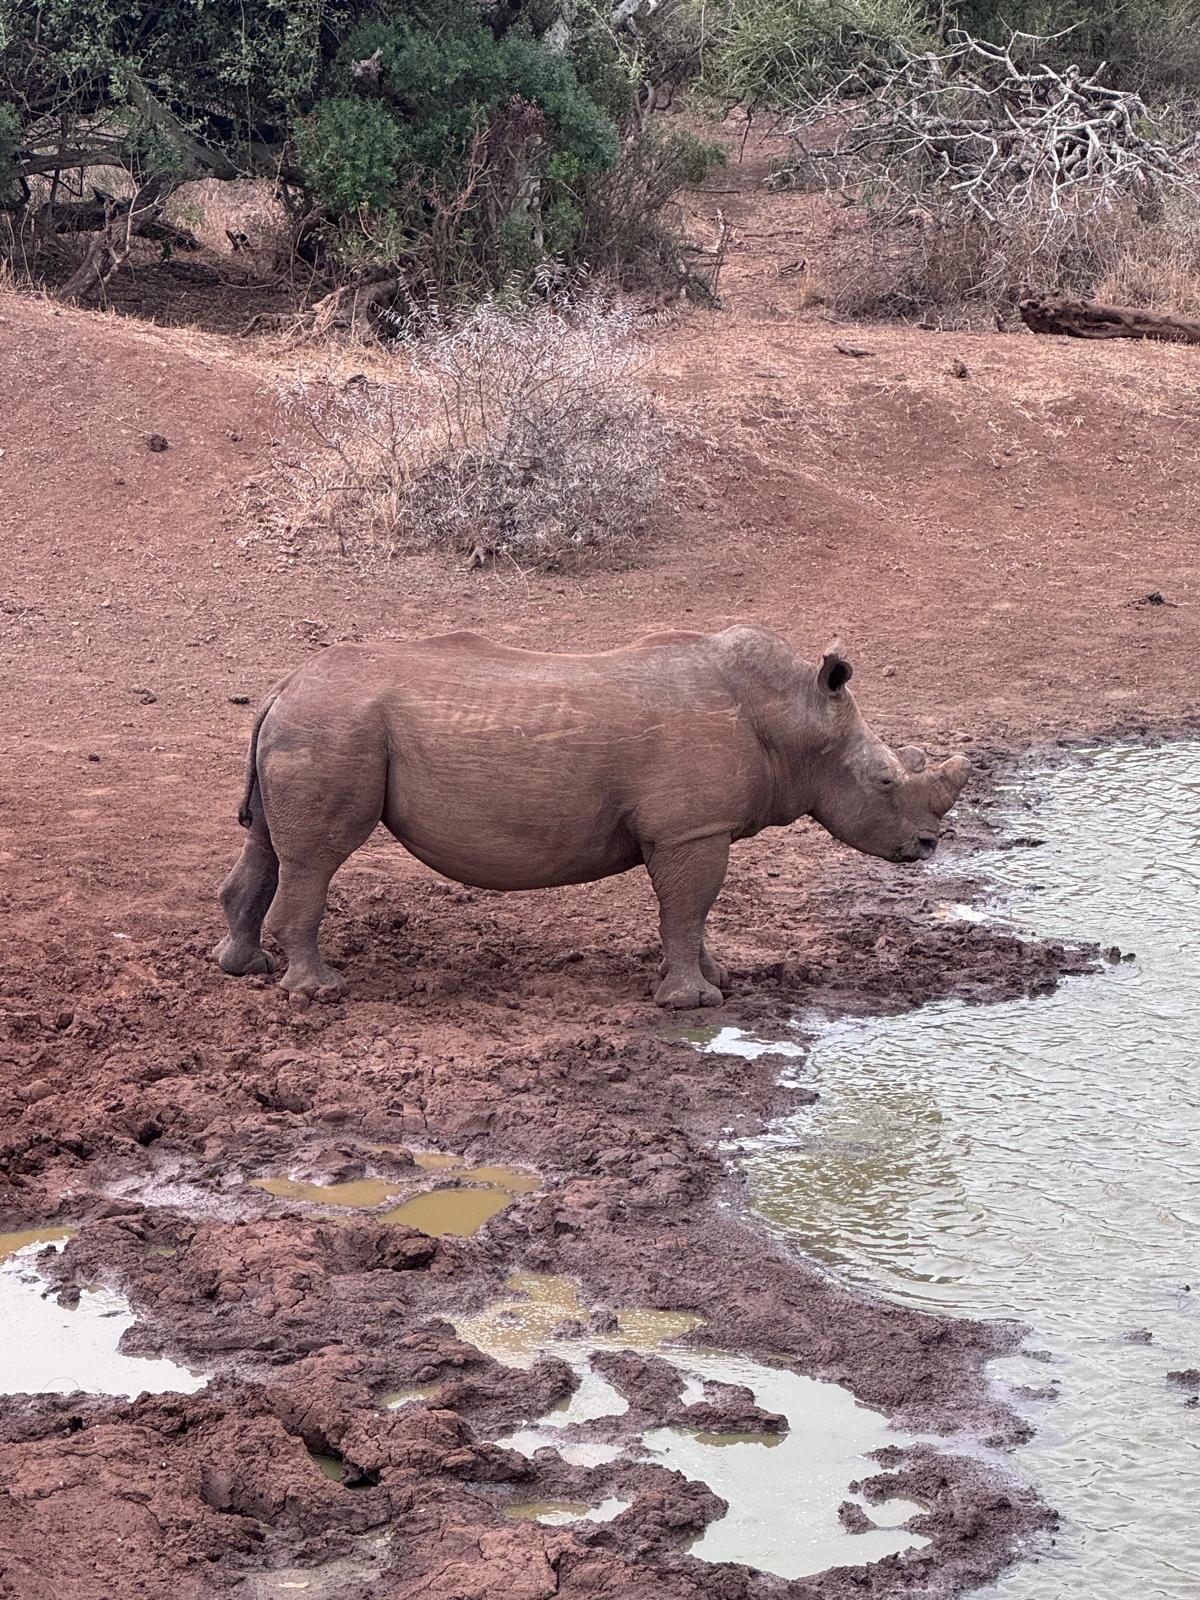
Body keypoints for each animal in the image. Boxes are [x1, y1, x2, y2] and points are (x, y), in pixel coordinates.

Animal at [213, 626, 969, 1008]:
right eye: (883, 781)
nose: (928, 844)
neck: (793, 716)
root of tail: (281, 686)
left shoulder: (694, 828)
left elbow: (694, 915)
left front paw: (717, 981)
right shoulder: (691, 827)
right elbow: (687, 908)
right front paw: (693, 1003)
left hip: (314, 722)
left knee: (270, 846)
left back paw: (245, 968)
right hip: (335, 725)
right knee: (316, 858)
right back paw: (318, 992)